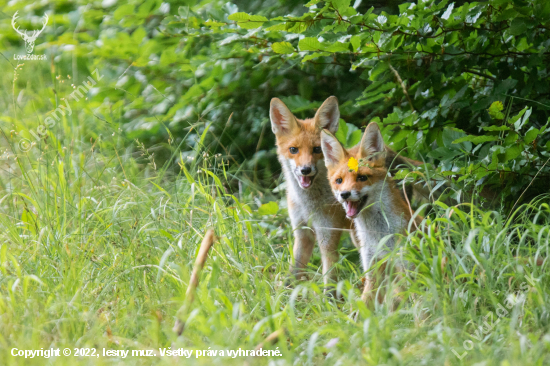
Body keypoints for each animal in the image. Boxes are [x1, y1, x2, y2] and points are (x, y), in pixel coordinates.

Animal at [320, 121, 422, 304]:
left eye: (362, 178)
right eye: (339, 181)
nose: (344, 194)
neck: (378, 236)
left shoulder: (408, 268)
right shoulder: (372, 270)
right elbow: (364, 307)